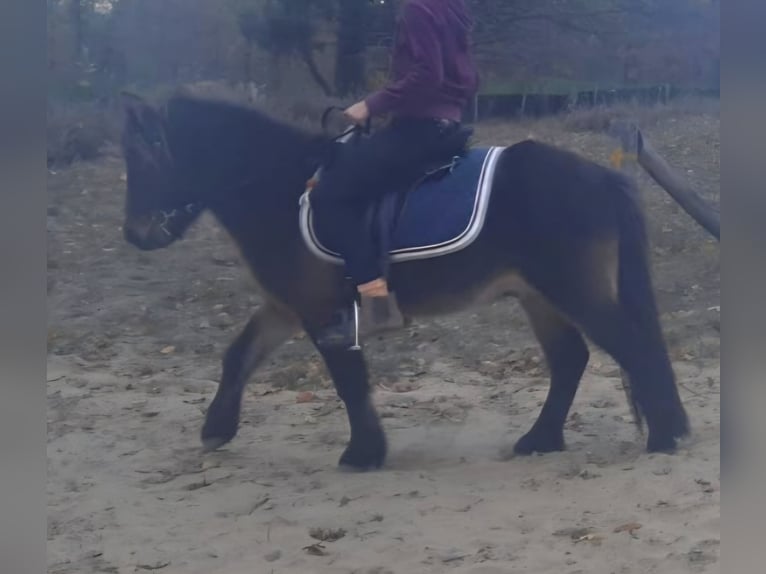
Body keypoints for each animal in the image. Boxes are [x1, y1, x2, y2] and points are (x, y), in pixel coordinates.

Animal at [118, 91, 690, 471]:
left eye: (143, 156)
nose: (134, 234)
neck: (280, 188)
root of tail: (600, 176)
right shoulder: (286, 306)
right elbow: (239, 356)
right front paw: (216, 430)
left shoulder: (321, 312)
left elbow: (349, 380)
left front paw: (364, 453)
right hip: (538, 295)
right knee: (573, 358)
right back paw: (542, 438)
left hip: (572, 289)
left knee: (631, 345)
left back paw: (664, 436)